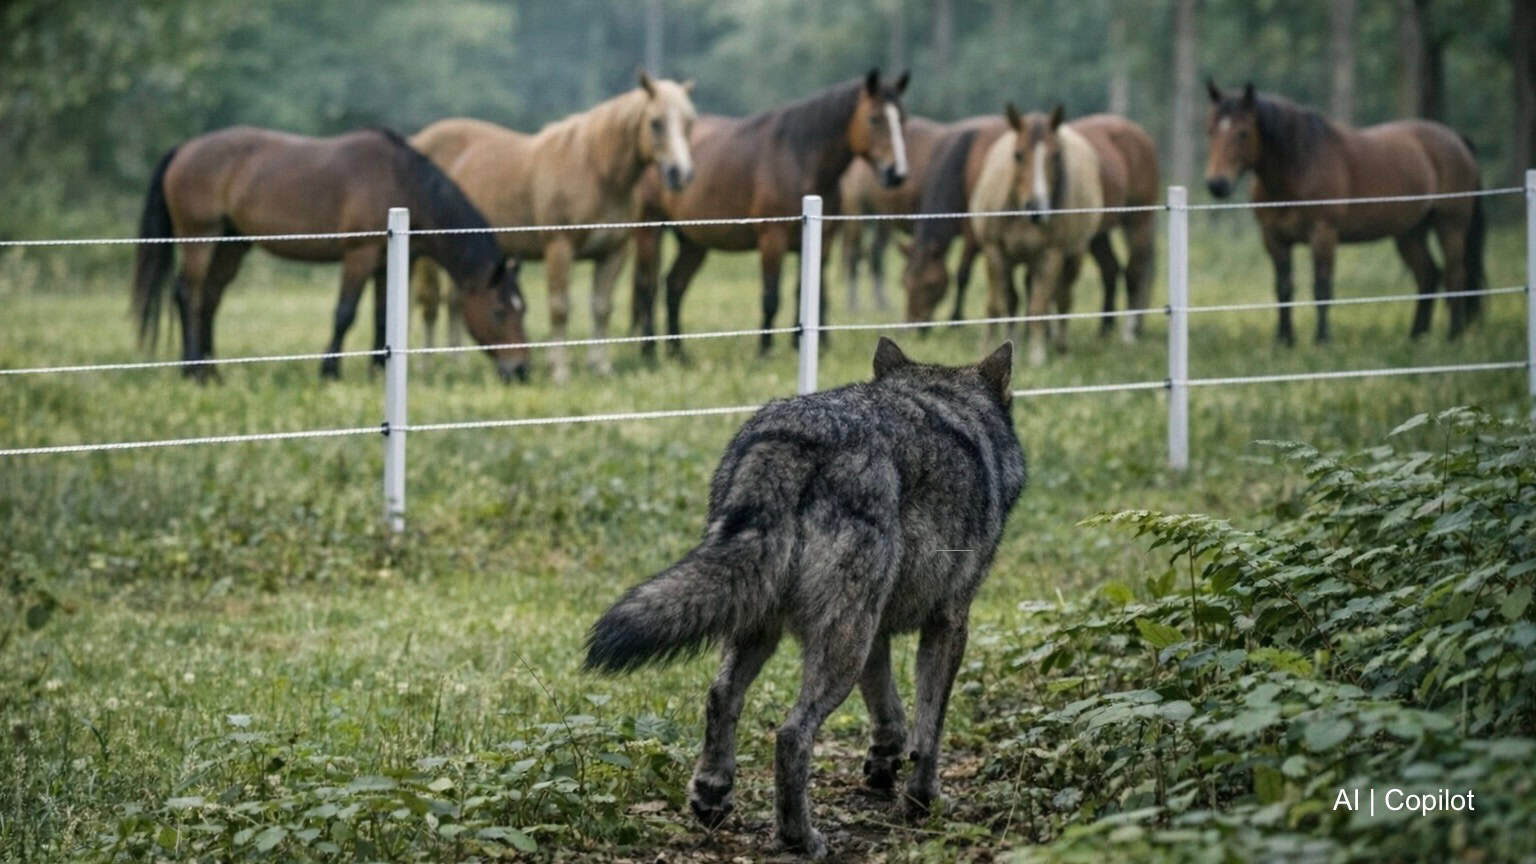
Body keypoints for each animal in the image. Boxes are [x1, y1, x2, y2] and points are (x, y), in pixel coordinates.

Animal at [133, 127, 530, 381]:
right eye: (499, 311)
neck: (403, 182)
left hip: (233, 243)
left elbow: (383, 317)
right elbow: (345, 313)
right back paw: (192, 370)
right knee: (188, 294)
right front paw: (330, 370)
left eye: (523, 309)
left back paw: (211, 370)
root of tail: (183, 149)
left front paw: (377, 371)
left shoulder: (387, 264)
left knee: (210, 298)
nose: (521, 370)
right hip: (200, 236)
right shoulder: (359, 254)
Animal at [411, 71, 698, 381]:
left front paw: (600, 366)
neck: (595, 172)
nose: (680, 173)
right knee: (431, 304)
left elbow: (601, 308)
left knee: (454, 301)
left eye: (689, 122)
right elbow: (560, 308)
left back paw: (458, 361)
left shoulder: (613, 253)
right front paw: (559, 370)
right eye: (655, 122)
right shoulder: (559, 248)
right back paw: (428, 364)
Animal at [631, 69, 910, 358]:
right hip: (650, 230)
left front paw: (808, 345)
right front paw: (765, 350)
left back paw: (678, 352)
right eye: (874, 118)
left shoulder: (823, 241)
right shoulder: (772, 238)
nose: (896, 173)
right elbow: (771, 296)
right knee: (646, 286)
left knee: (674, 285)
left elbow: (810, 292)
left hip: (693, 243)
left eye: (901, 119)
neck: (799, 161)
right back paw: (649, 351)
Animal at [970, 104, 1105, 367]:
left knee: (1063, 299)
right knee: (1012, 299)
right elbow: (997, 303)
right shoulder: (994, 251)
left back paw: (1060, 346)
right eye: (1018, 154)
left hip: (1072, 256)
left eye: (1056, 156)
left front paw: (1037, 355)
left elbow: (1038, 307)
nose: (1037, 208)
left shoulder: (1051, 256)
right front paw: (989, 346)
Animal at [1204, 81, 1486, 343]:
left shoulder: (1323, 233)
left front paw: (1322, 340)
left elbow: (1322, 287)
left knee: (1455, 275)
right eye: (1210, 130)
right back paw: (1417, 337)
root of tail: (1457, 139)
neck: (1299, 167)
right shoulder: (1274, 238)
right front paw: (1284, 341)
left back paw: (1454, 336)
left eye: (1242, 133)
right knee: (1428, 275)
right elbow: (1284, 288)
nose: (1217, 184)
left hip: (1450, 224)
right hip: (1410, 232)